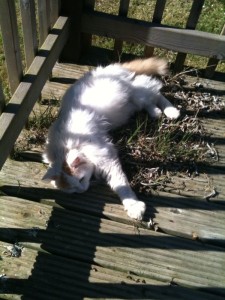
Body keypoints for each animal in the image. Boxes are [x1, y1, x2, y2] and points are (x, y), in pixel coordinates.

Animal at [42, 56, 179, 220]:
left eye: (81, 180)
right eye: (73, 190)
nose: (82, 191)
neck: (64, 147)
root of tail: (113, 67)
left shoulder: (107, 158)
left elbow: (120, 184)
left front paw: (133, 206)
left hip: (136, 93)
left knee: (156, 91)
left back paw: (171, 112)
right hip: (131, 104)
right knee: (150, 100)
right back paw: (156, 112)